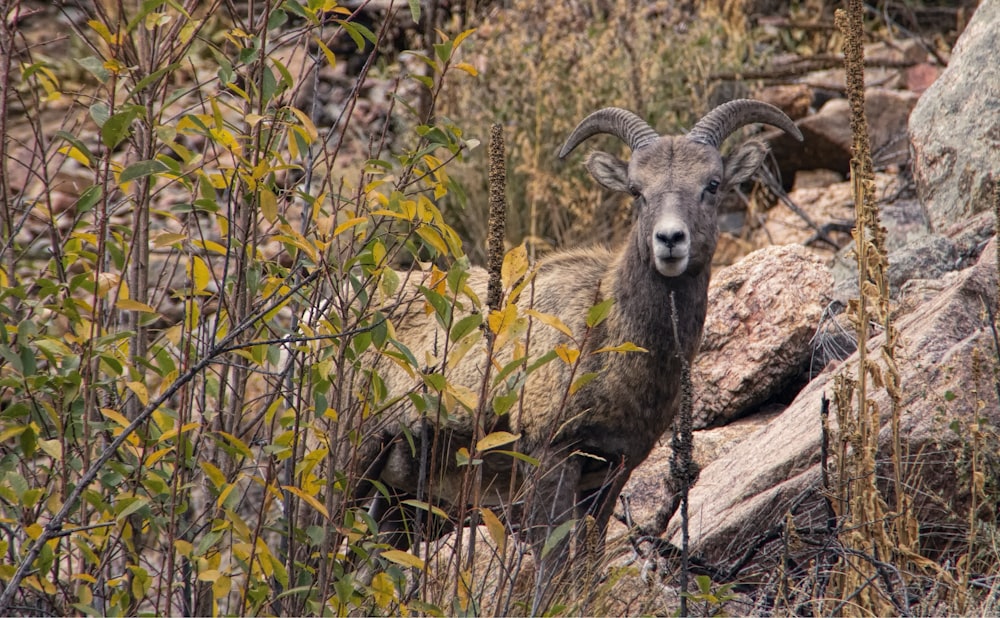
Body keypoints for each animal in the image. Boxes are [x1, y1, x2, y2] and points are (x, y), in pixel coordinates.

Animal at [352, 98, 804, 580]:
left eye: (712, 185)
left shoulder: (612, 471)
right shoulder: (550, 459)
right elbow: (550, 566)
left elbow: (587, 559)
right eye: (636, 190)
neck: (605, 341)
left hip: (399, 497)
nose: (669, 240)